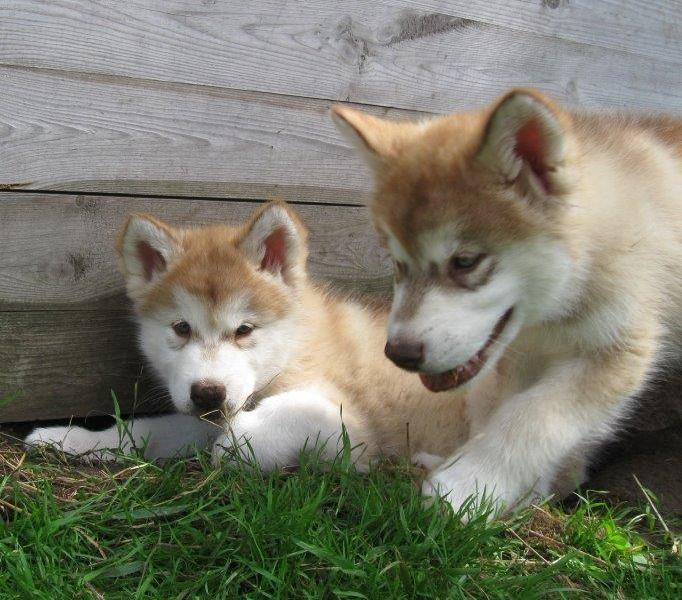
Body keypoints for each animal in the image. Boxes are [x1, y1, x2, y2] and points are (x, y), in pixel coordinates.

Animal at [25, 200, 483, 479]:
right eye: (181, 328)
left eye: (243, 330)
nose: (208, 393)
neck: (293, 348)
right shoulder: (201, 415)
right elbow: (141, 430)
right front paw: (71, 439)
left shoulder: (352, 433)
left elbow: (285, 419)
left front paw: (236, 442)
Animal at [331, 89, 682, 514]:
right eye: (397, 263)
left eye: (465, 262)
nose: (400, 354)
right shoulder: (523, 356)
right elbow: (501, 410)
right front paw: (508, 490)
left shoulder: (618, 347)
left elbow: (533, 417)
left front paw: (465, 485)